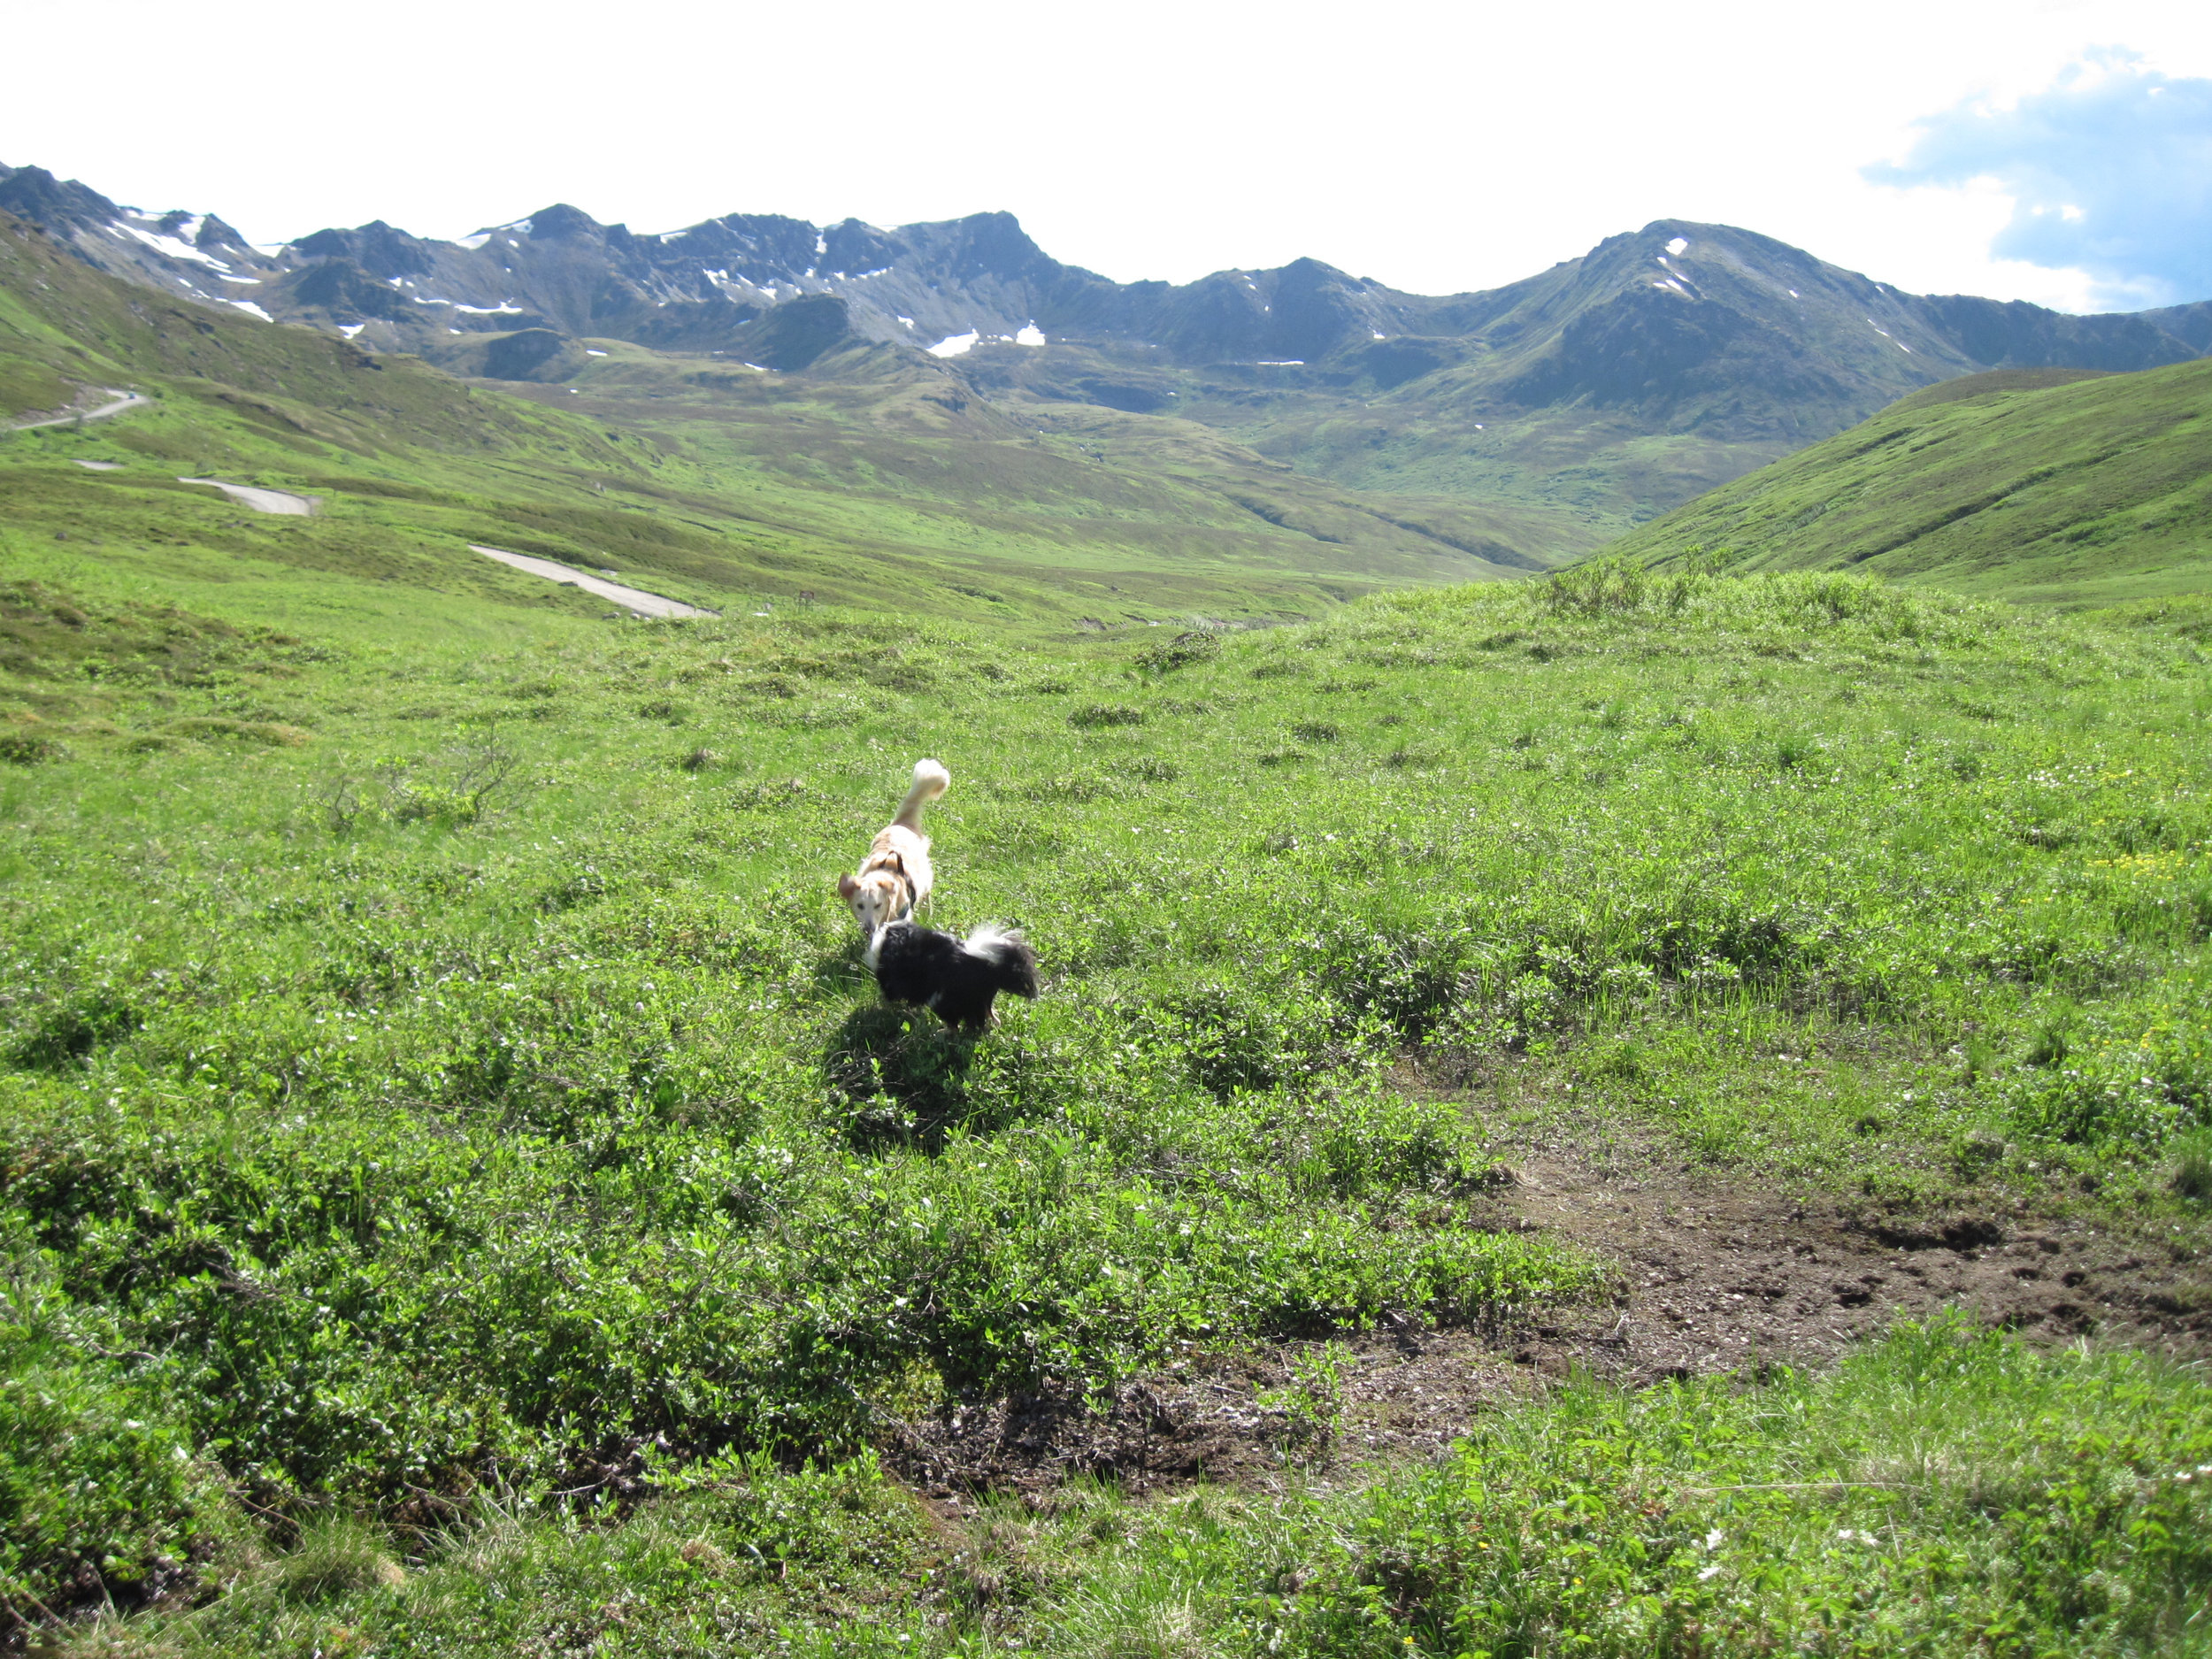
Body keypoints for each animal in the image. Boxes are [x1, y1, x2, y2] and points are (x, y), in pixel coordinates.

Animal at [836, 761, 951, 942]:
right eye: (860, 905)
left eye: (878, 905)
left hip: (925, 878)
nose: (868, 928)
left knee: (927, 896)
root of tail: (901, 823)